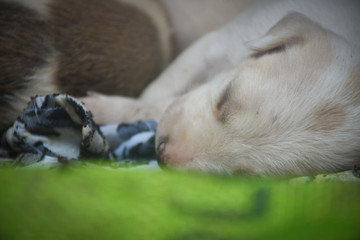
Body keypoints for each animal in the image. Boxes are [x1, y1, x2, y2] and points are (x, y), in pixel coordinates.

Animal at [0, 0, 360, 175]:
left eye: (246, 175)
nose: (162, 154)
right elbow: (160, 92)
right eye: (226, 98)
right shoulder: (212, 45)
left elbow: (161, 103)